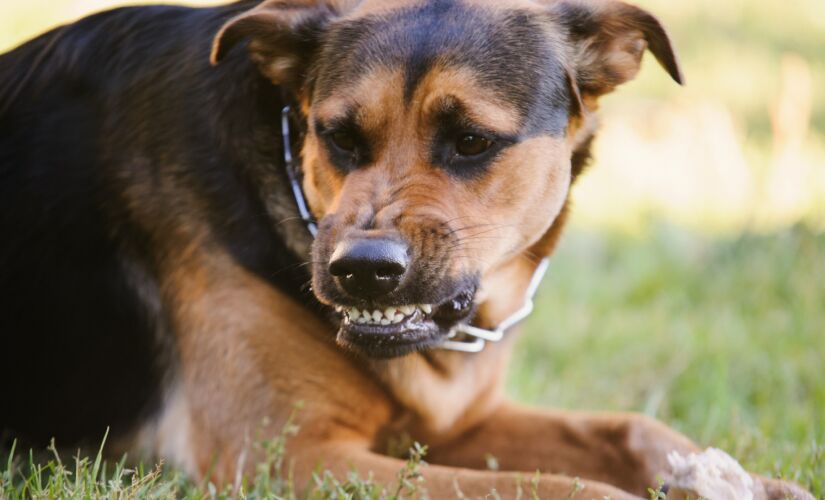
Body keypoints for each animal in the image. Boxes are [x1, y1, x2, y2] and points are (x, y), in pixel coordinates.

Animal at [0, 0, 812, 498]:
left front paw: (743, 482)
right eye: (338, 137)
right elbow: (560, 489)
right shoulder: (288, 457)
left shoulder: (459, 422)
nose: (360, 272)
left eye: (471, 141)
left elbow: (625, 427)